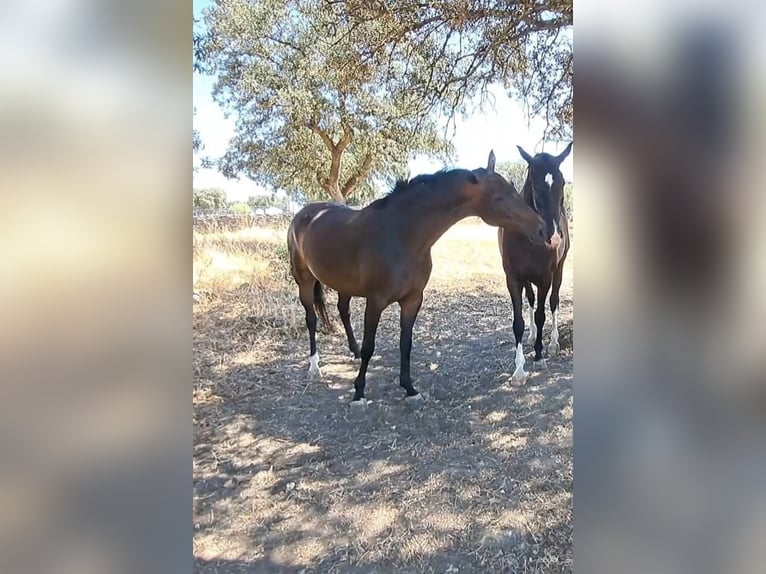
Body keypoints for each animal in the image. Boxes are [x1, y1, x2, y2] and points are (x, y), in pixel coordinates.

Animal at [287, 151, 548, 409]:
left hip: (344, 285)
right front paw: (359, 392)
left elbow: (406, 344)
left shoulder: (412, 299)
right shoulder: (375, 301)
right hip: (304, 281)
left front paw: (409, 388)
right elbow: (371, 345)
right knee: (311, 319)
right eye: (499, 197)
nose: (542, 229)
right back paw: (315, 367)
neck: (402, 235)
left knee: (343, 311)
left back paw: (354, 352)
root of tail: (304, 214)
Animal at [498, 142, 573, 381]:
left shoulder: (545, 278)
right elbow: (518, 322)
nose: (554, 236)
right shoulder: (513, 278)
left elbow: (542, 314)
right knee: (530, 301)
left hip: (559, 271)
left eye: (562, 183)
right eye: (536, 185)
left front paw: (539, 355)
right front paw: (519, 370)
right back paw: (532, 337)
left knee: (554, 302)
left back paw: (553, 344)